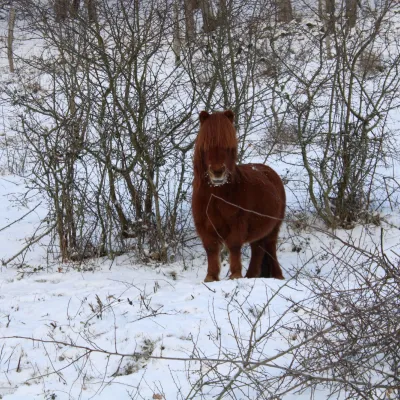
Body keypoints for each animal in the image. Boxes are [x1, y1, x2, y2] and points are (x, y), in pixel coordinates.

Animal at [192, 111, 286, 282]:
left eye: (228, 147)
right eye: (206, 146)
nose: (217, 172)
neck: (215, 196)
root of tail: (269, 172)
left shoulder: (237, 224)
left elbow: (234, 245)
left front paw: (235, 275)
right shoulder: (204, 227)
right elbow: (211, 249)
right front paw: (211, 277)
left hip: (273, 228)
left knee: (269, 248)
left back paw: (277, 276)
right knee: (258, 249)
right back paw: (251, 276)